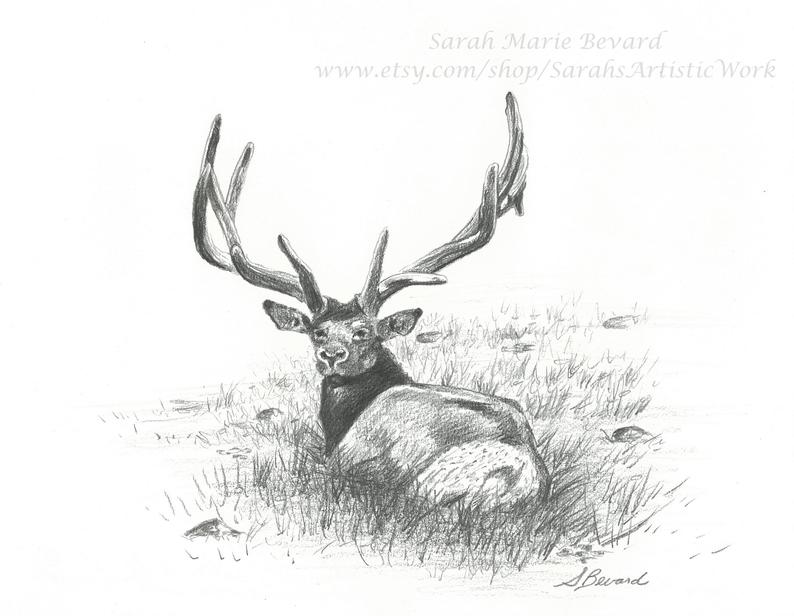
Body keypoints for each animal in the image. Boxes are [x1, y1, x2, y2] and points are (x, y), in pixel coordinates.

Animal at [191, 93, 549, 509]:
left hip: (422, 482)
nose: (331, 355)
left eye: (364, 331)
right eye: (316, 331)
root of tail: (516, 473)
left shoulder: (343, 459)